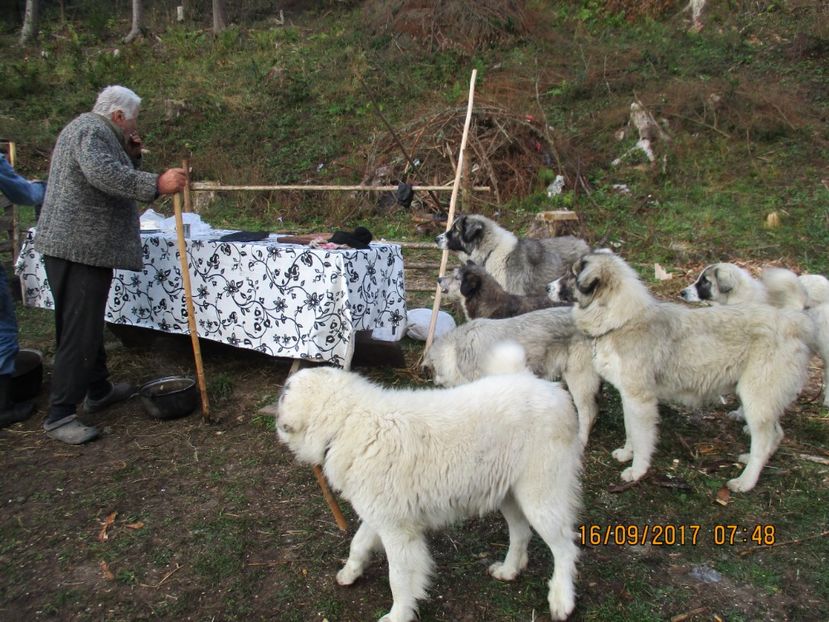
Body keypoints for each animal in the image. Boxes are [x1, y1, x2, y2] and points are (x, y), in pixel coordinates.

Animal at [276, 346, 584, 622]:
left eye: (286, 391)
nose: (277, 395)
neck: (347, 421)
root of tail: (547, 387)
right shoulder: (380, 517)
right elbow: (358, 544)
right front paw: (350, 573)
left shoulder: (398, 532)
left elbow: (398, 580)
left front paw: (398, 615)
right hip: (508, 495)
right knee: (521, 534)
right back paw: (509, 570)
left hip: (540, 500)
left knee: (565, 549)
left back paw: (561, 599)